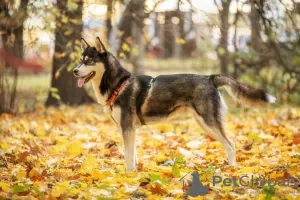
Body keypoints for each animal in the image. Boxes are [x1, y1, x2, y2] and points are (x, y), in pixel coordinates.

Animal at [73, 36, 276, 171]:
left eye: (89, 61)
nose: (74, 71)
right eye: (80, 60)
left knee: (231, 144)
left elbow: (129, 159)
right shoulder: (130, 129)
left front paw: (129, 177)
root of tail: (210, 78)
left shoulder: (127, 128)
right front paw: (135, 175)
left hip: (209, 122)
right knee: (229, 144)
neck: (118, 85)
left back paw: (232, 170)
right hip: (203, 123)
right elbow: (133, 156)